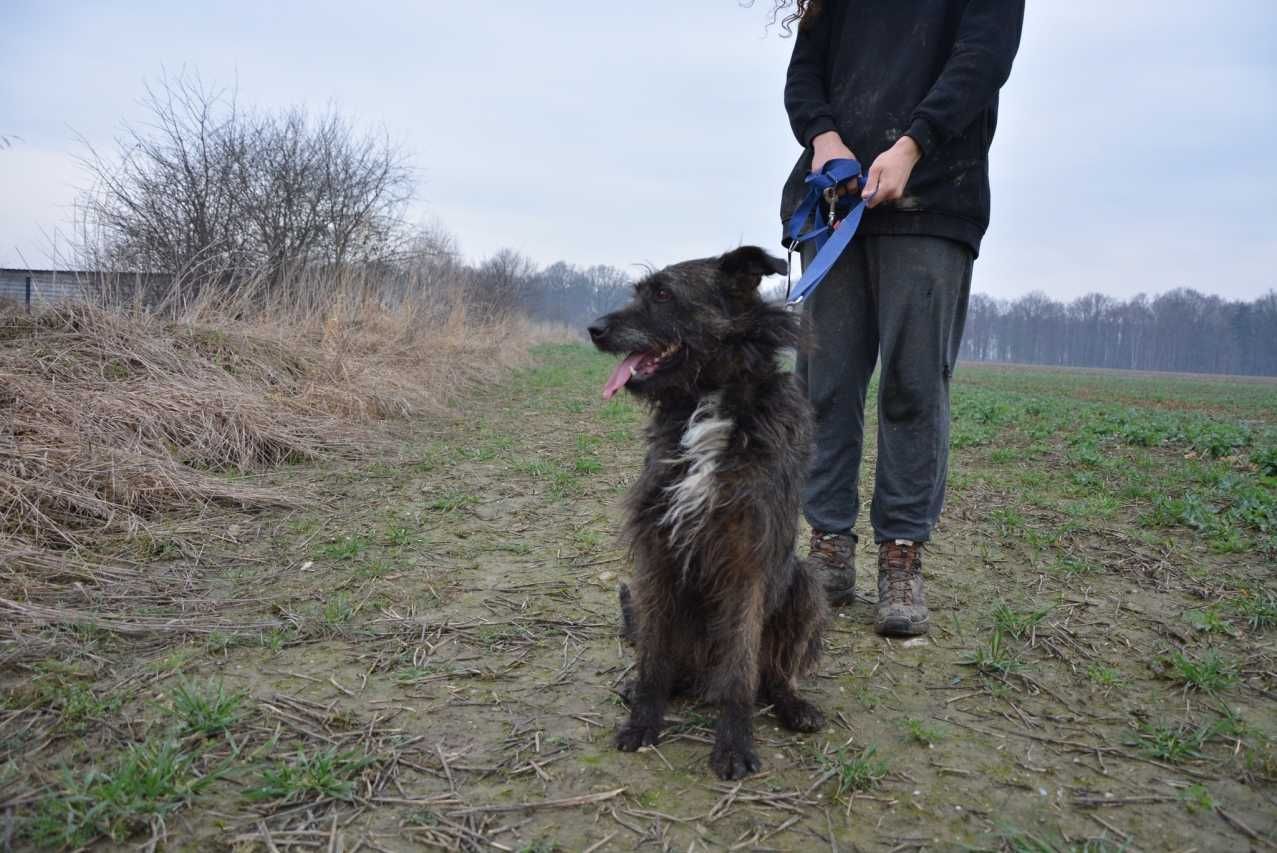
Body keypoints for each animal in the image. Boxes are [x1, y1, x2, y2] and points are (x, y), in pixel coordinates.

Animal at [587, 242, 827, 776]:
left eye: (662, 294)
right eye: (641, 290)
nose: (594, 328)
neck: (705, 399)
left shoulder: (747, 556)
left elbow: (741, 670)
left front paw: (734, 744)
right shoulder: (657, 545)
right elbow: (654, 655)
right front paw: (644, 718)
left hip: (803, 582)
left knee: (772, 673)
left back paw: (793, 704)